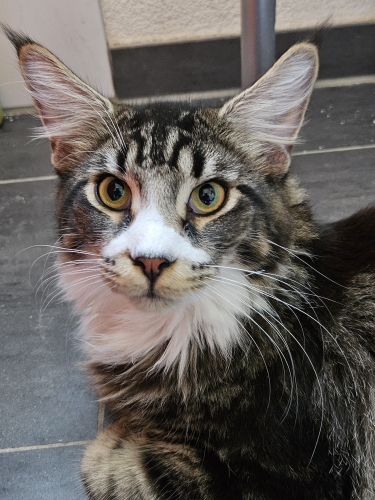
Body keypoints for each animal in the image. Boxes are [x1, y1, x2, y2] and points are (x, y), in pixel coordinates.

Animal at [5, 26, 375, 500]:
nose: (150, 261)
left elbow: (113, 466)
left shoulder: (294, 472)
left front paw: (115, 437)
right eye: (113, 192)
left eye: (208, 196)